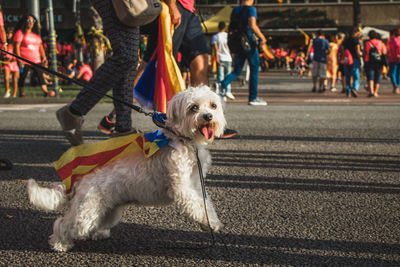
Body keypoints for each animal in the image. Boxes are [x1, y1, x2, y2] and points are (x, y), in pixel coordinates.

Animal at [27, 86, 227, 253]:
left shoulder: (196, 185)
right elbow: (197, 206)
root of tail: (79, 181)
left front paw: (210, 223)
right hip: (85, 214)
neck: (184, 141)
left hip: (108, 211)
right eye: (193, 108)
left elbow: (205, 205)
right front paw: (210, 223)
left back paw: (98, 233)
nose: (208, 116)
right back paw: (60, 244)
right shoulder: (182, 188)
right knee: (63, 223)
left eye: (213, 105)